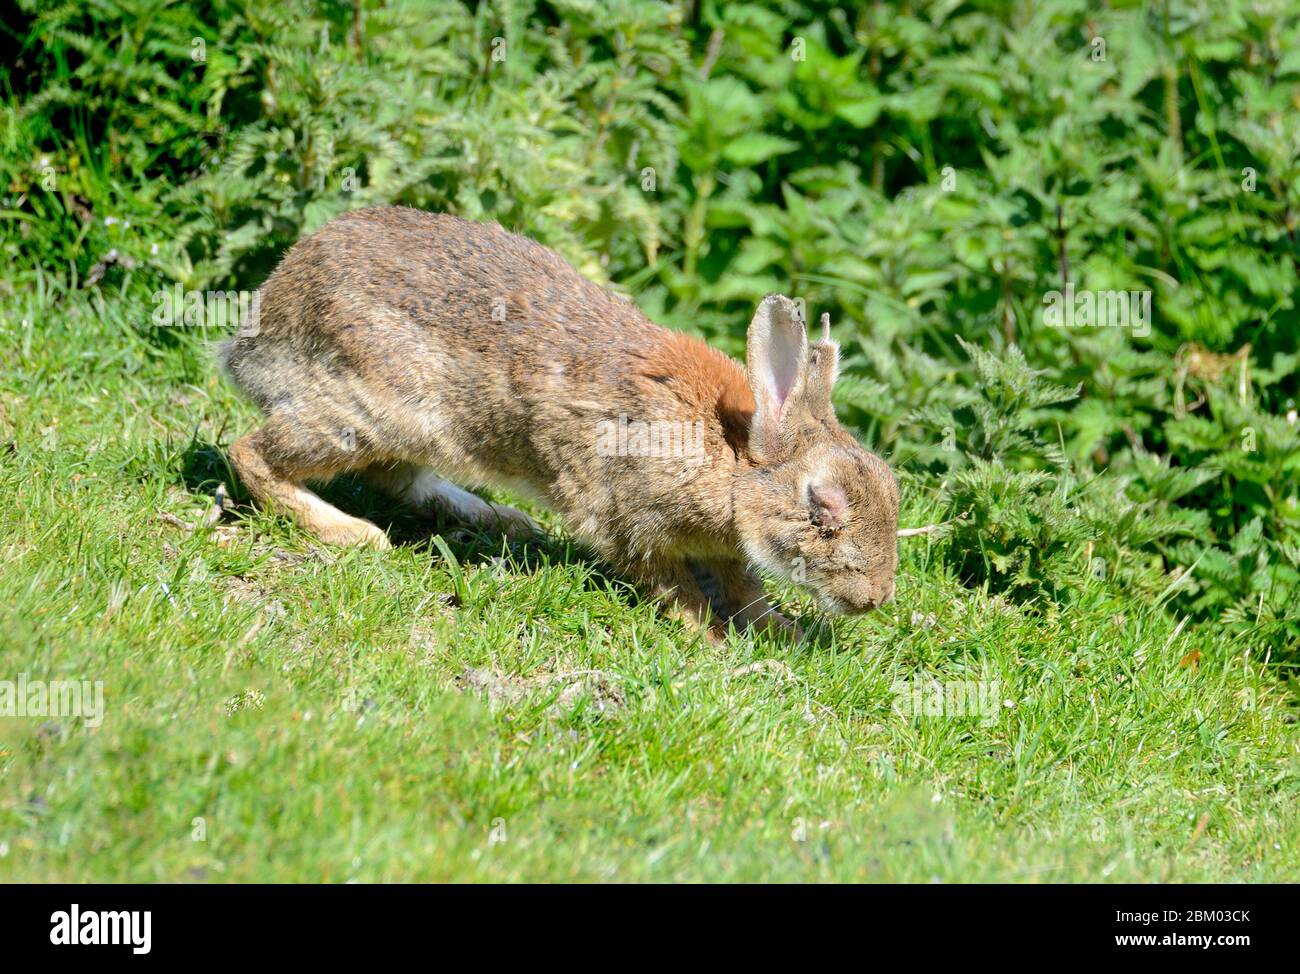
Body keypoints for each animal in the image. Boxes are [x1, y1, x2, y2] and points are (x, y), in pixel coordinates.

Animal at [221, 206, 898, 639]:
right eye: (823, 507)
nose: (874, 599)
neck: (729, 460)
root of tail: (267, 320)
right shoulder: (629, 518)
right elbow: (670, 582)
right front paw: (710, 637)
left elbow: (744, 588)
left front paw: (780, 628)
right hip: (372, 411)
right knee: (251, 451)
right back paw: (351, 533)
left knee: (397, 478)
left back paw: (500, 518)